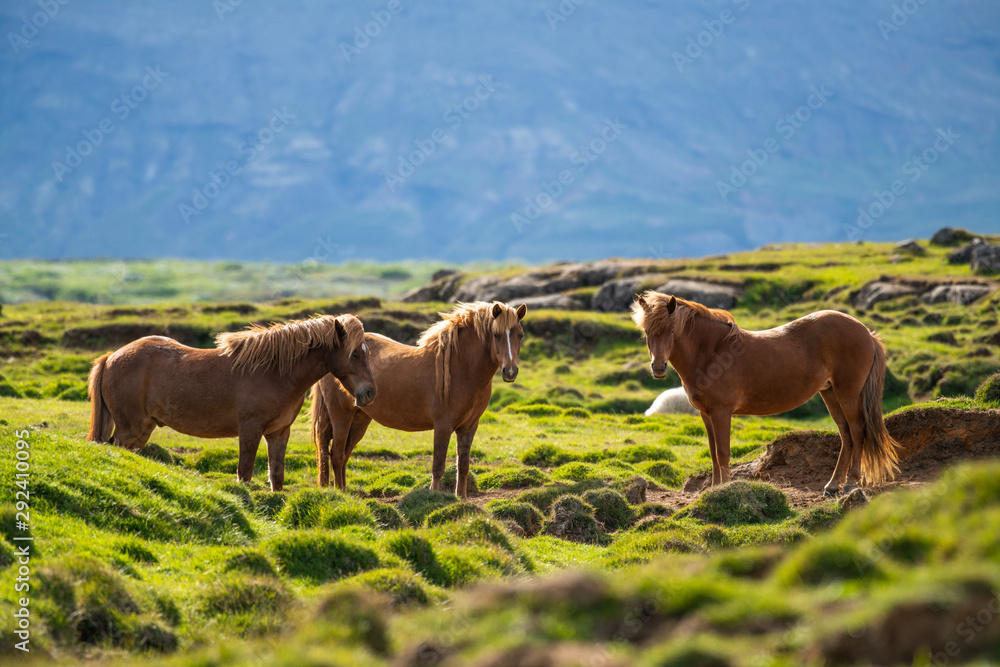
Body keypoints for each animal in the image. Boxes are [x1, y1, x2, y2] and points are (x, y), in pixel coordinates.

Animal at [85, 314, 376, 490]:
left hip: (142, 429)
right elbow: (244, 472)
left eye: (366, 353)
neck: (274, 372)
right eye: (354, 354)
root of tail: (111, 357)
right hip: (129, 429)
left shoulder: (279, 432)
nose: (370, 393)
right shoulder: (250, 429)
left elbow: (277, 476)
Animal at [310, 300, 532, 498]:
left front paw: (462, 499)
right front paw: (434, 497)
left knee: (344, 455)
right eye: (496, 335)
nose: (510, 372)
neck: (461, 369)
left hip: (360, 419)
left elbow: (463, 465)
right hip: (341, 416)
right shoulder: (443, 426)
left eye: (520, 335)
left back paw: (345, 492)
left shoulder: (469, 427)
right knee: (336, 455)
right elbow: (438, 466)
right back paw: (341, 494)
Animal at [636, 292, 904, 496]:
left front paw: (723, 490)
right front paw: (713, 489)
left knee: (857, 431)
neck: (712, 352)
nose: (658, 367)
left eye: (671, 331)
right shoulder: (705, 414)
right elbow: (713, 453)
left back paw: (851, 482)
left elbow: (723, 453)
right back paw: (832, 484)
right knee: (846, 435)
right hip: (830, 394)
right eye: (647, 332)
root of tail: (866, 332)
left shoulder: (721, 412)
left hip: (848, 393)